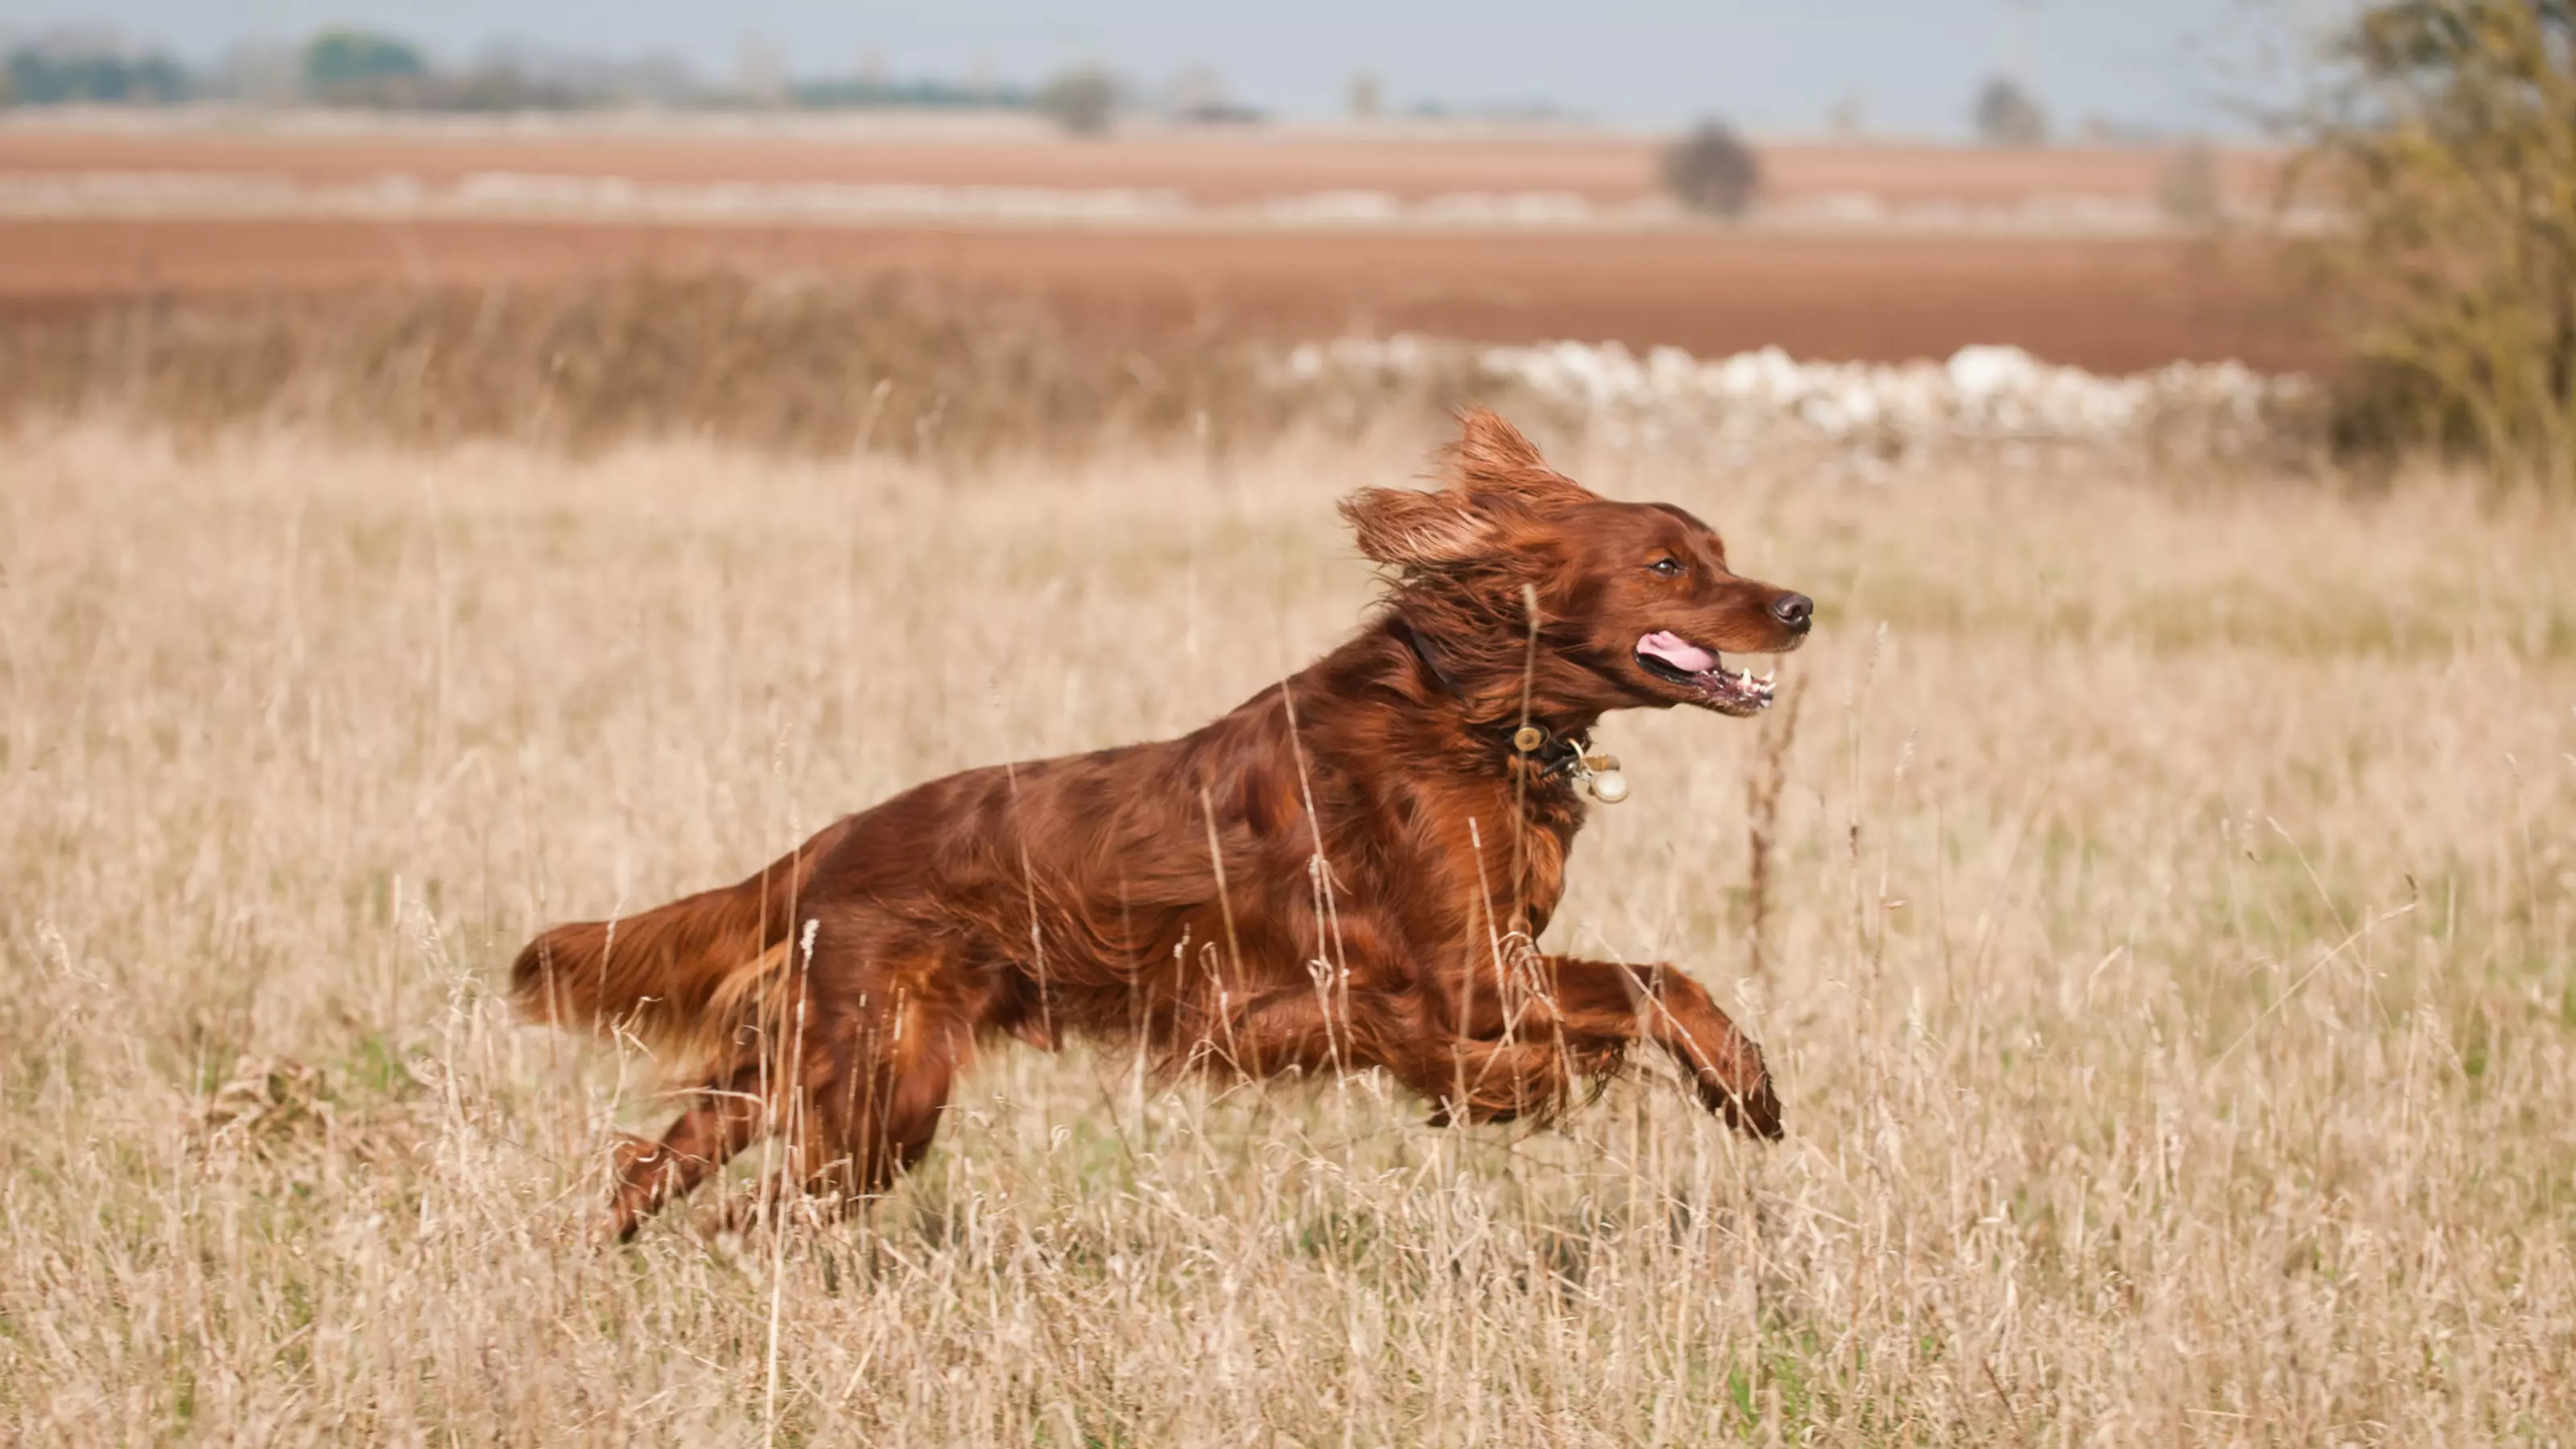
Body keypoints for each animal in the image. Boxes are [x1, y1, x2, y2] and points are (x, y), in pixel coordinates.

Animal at [518, 410, 1813, 1227]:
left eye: (1718, 552)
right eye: (1667, 565)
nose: (1799, 605)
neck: (1465, 710)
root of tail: (832, 841)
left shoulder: (1467, 981)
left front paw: (1526, 1092)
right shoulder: (1469, 971)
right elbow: (1657, 982)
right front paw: (1742, 1089)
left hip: (811, 1063)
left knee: (661, 1162)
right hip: (882, 1080)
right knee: (773, 1206)